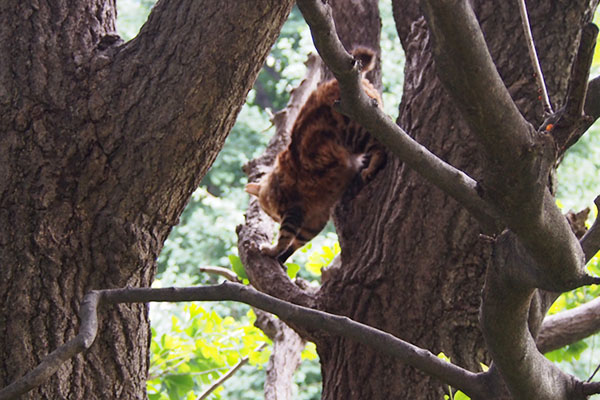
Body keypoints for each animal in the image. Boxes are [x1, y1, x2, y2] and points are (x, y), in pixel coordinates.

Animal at [246, 47, 386, 262]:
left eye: (271, 214)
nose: (274, 218)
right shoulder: (314, 220)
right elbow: (296, 243)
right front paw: (281, 258)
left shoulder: (293, 212)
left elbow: (284, 238)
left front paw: (272, 250)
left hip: (356, 133)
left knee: (380, 146)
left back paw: (372, 167)